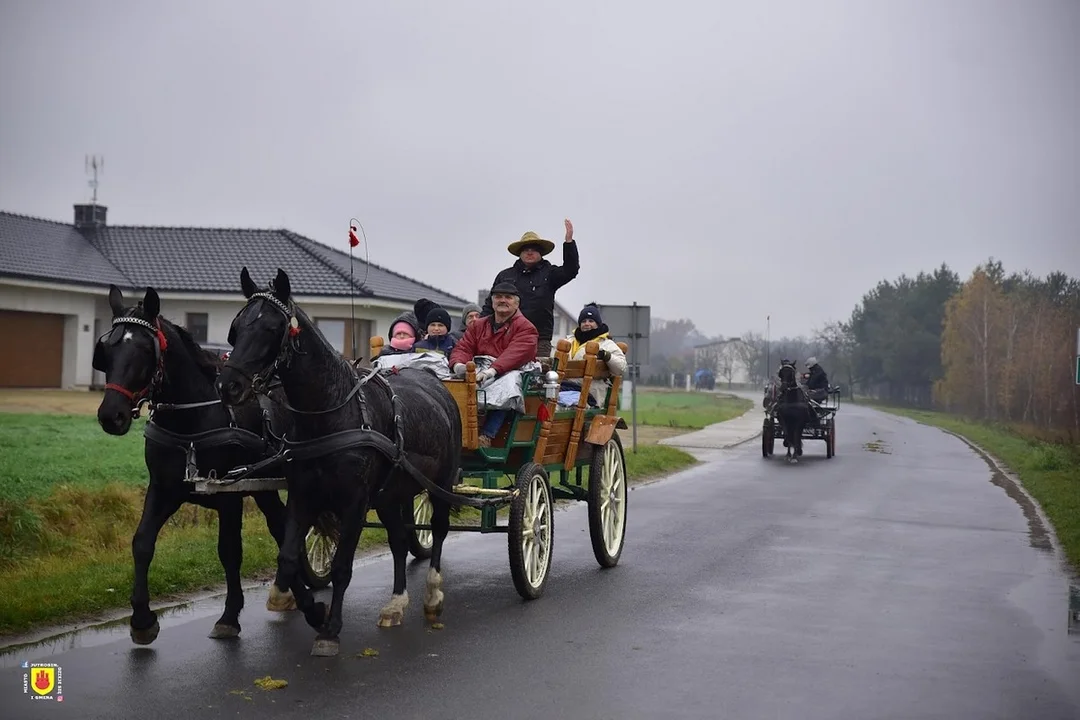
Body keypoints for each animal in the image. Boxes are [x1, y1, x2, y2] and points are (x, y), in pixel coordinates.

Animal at [91, 284, 295, 643]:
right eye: (107, 348)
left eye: (144, 349)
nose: (110, 415)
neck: (193, 420)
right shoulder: (163, 489)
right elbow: (142, 543)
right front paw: (142, 619)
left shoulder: (229, 495)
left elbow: (229, 551)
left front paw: (229, 616)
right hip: (264, 485)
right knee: (280, 524)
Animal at [212, 267, 462, 656]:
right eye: (236, 328)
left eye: (272, 328)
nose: (228, 386)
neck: (330, 413)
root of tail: (435, 383)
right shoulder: (303, 495)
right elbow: (287, 557)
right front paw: (310, 610)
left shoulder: (355, 502)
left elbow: (343, 566)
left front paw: (329, 630)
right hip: (392, 493)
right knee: (399, 539)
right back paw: (396, 603)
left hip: (441, 483)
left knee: (437, 530)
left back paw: (433, 594)